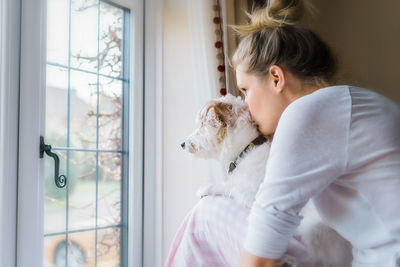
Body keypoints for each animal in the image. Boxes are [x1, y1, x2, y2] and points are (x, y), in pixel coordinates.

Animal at [181, 94, 354, 267]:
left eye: (202, 125)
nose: (181, 144)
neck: (246, 149)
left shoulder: (252, 196)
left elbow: (230, 186)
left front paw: (206, 188)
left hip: (314, 229)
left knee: (320, 260)